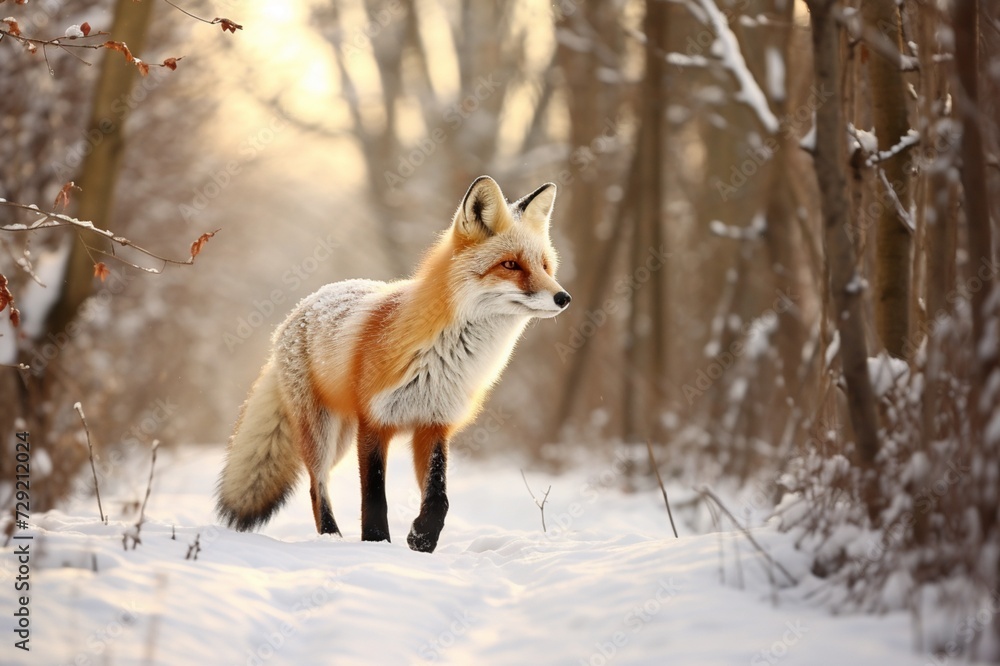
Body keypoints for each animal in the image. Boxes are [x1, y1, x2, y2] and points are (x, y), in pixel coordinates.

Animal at [215, 176, 571, 552]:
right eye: (510, 265)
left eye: (545, 266)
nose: (564, 297)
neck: (444, 359)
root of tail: (300, 309)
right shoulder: (374, 421)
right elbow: (374, 496)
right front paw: (376, 543)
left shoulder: (434, 423)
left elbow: (439, 497)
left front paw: (423, 539)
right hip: (322, 432)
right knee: (316, 484)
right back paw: (331, 537)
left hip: (341, 438)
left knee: (318, 483)